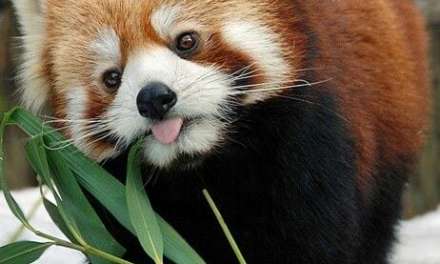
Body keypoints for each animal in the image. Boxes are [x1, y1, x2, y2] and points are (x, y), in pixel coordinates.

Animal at [11, 0, 430, 264]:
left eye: (186, 41)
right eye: (112, 77)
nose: (154, 98)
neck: (203, 169)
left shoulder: (311, 153)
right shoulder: (115, 200)